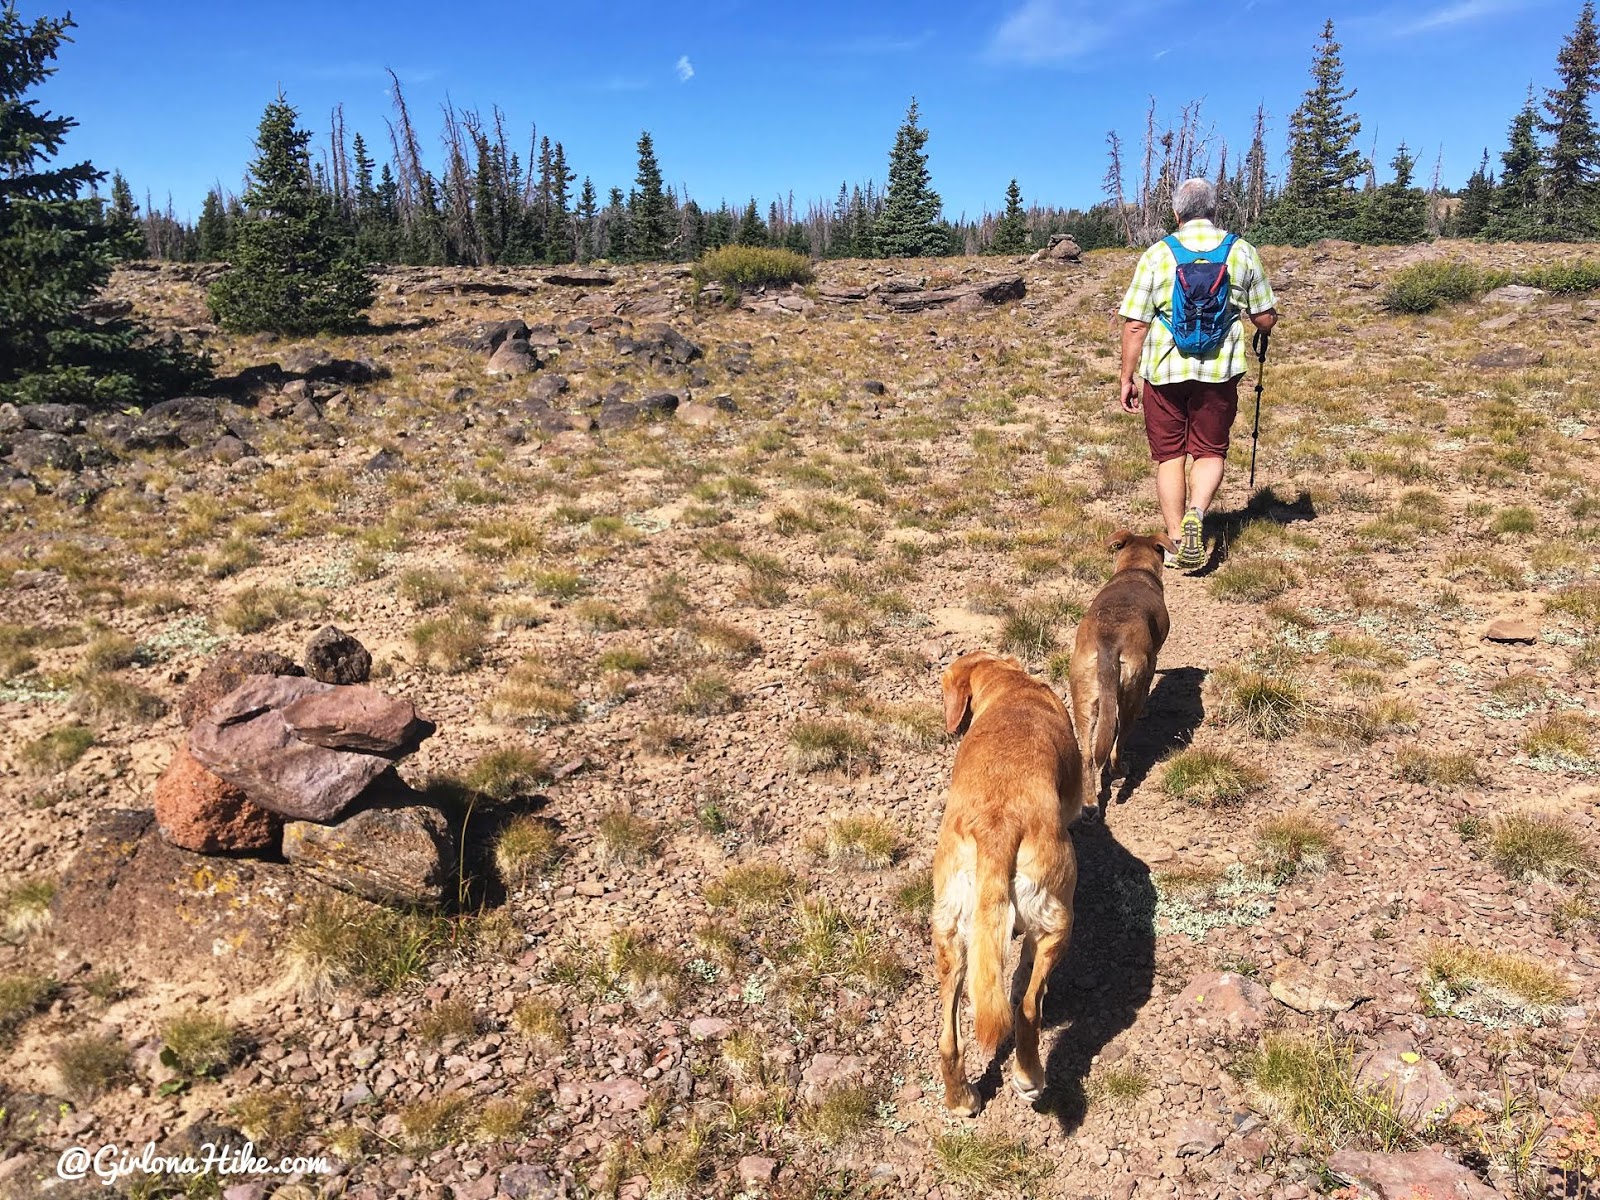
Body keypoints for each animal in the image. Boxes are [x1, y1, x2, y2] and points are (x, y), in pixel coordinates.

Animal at [934, 652, 1081, 1113]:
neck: (1008, 686)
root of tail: (997, 827)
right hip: (1058, 920)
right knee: (1027, 1009)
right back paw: (1029, 1077)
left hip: (949, 933)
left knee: (948, 1039)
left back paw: (961, 1098)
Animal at [1068, 534, 1171, 819]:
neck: (1133, 569)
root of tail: (1108, 642)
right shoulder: (1151, 663)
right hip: (1129, 698)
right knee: (1117, 745)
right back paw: (1120, 771)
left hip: (1082, 699)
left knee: (1087, 756)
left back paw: (1090, 805)